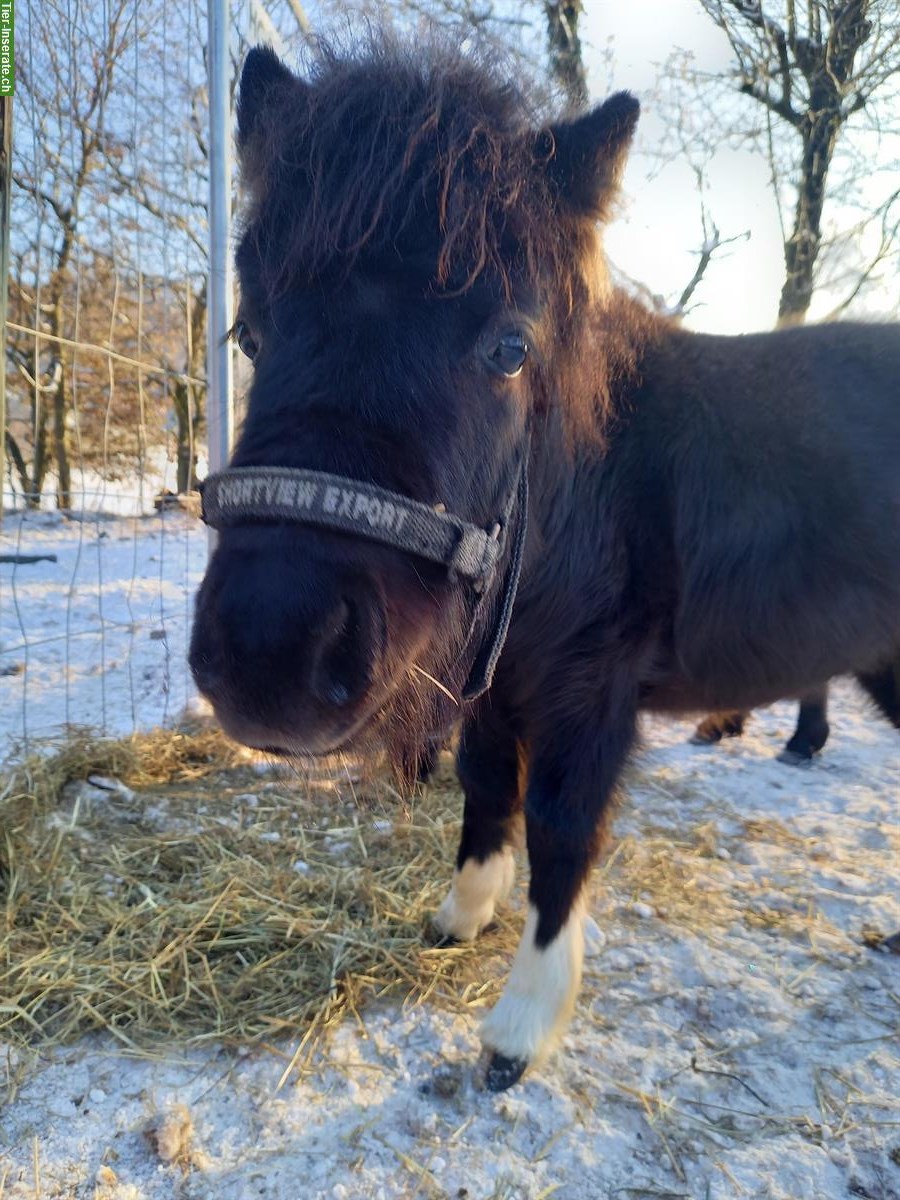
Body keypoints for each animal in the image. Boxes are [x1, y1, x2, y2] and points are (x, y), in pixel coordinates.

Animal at [189, 38, 900, 1091]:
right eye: (251, 329)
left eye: (510, 346)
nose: (269, 655)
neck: (584, 497)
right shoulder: (497, 682)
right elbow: (488, 791)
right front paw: (463, 913)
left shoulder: (591, 693)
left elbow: (563, 831)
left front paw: (522, 1024)